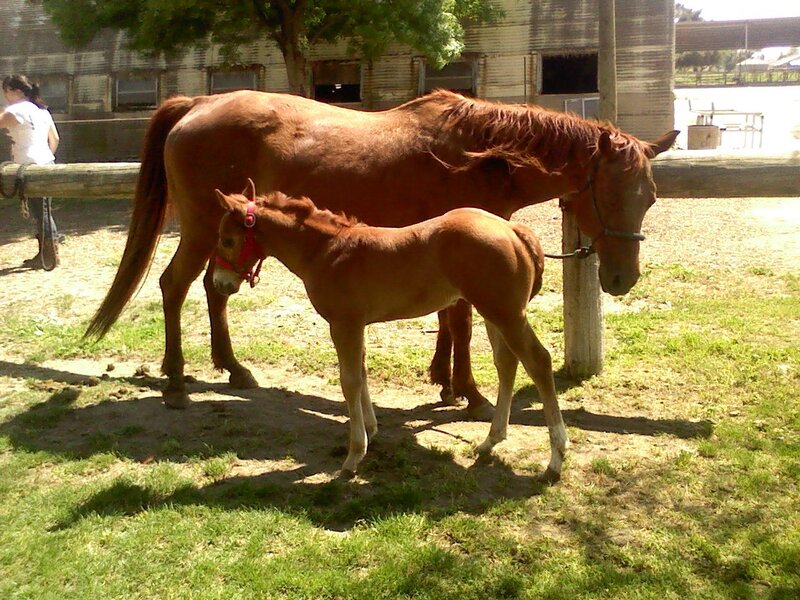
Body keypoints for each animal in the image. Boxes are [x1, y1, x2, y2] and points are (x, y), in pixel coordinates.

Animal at [84, 89, 678, 414]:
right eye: (611, 195)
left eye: (649, 197)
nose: (622, 279)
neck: (478, 155)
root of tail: (198, 103)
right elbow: (460, 321)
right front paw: (468, 390)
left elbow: (448, 319)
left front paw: (444, 380)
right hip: (205, 230)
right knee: (175, 287)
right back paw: (176, 381)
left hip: (228, 235)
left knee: (214, 289)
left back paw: (233, 369)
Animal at [213, 180, 568, 479]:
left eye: (228, 240)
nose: (220, 282)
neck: (327, 251)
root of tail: (512, 228)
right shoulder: (356, 325)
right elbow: (362, 373)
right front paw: (371, 431)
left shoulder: (343, 324)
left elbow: (349, 381)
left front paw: (354, 456)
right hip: (495, 313)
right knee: (507, 364)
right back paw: (491, 440)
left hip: (507, 315)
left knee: (539, 362)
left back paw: (555, 459)